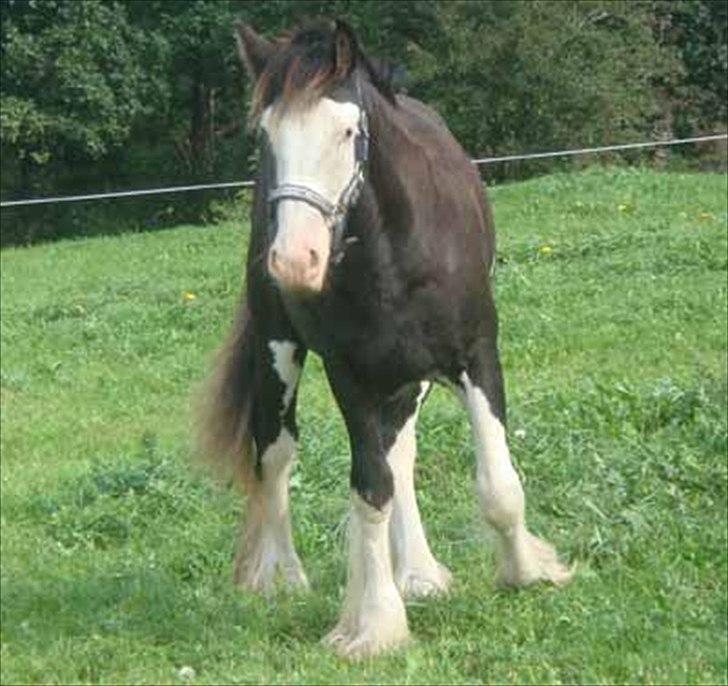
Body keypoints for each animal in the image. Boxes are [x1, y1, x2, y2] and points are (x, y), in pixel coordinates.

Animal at [200, 17, 576, 660]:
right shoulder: (350, 373)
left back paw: (418, 572)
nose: (295, 261)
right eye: (267, 136)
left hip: (408, 378)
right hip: (281, 351)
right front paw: (374, 622)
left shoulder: (477, 355)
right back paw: (280, 576)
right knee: (276, 451)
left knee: (401, 450)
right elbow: (370, 488)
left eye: (348, 130)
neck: (398, 251)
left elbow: (498, 484)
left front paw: (527, 571)